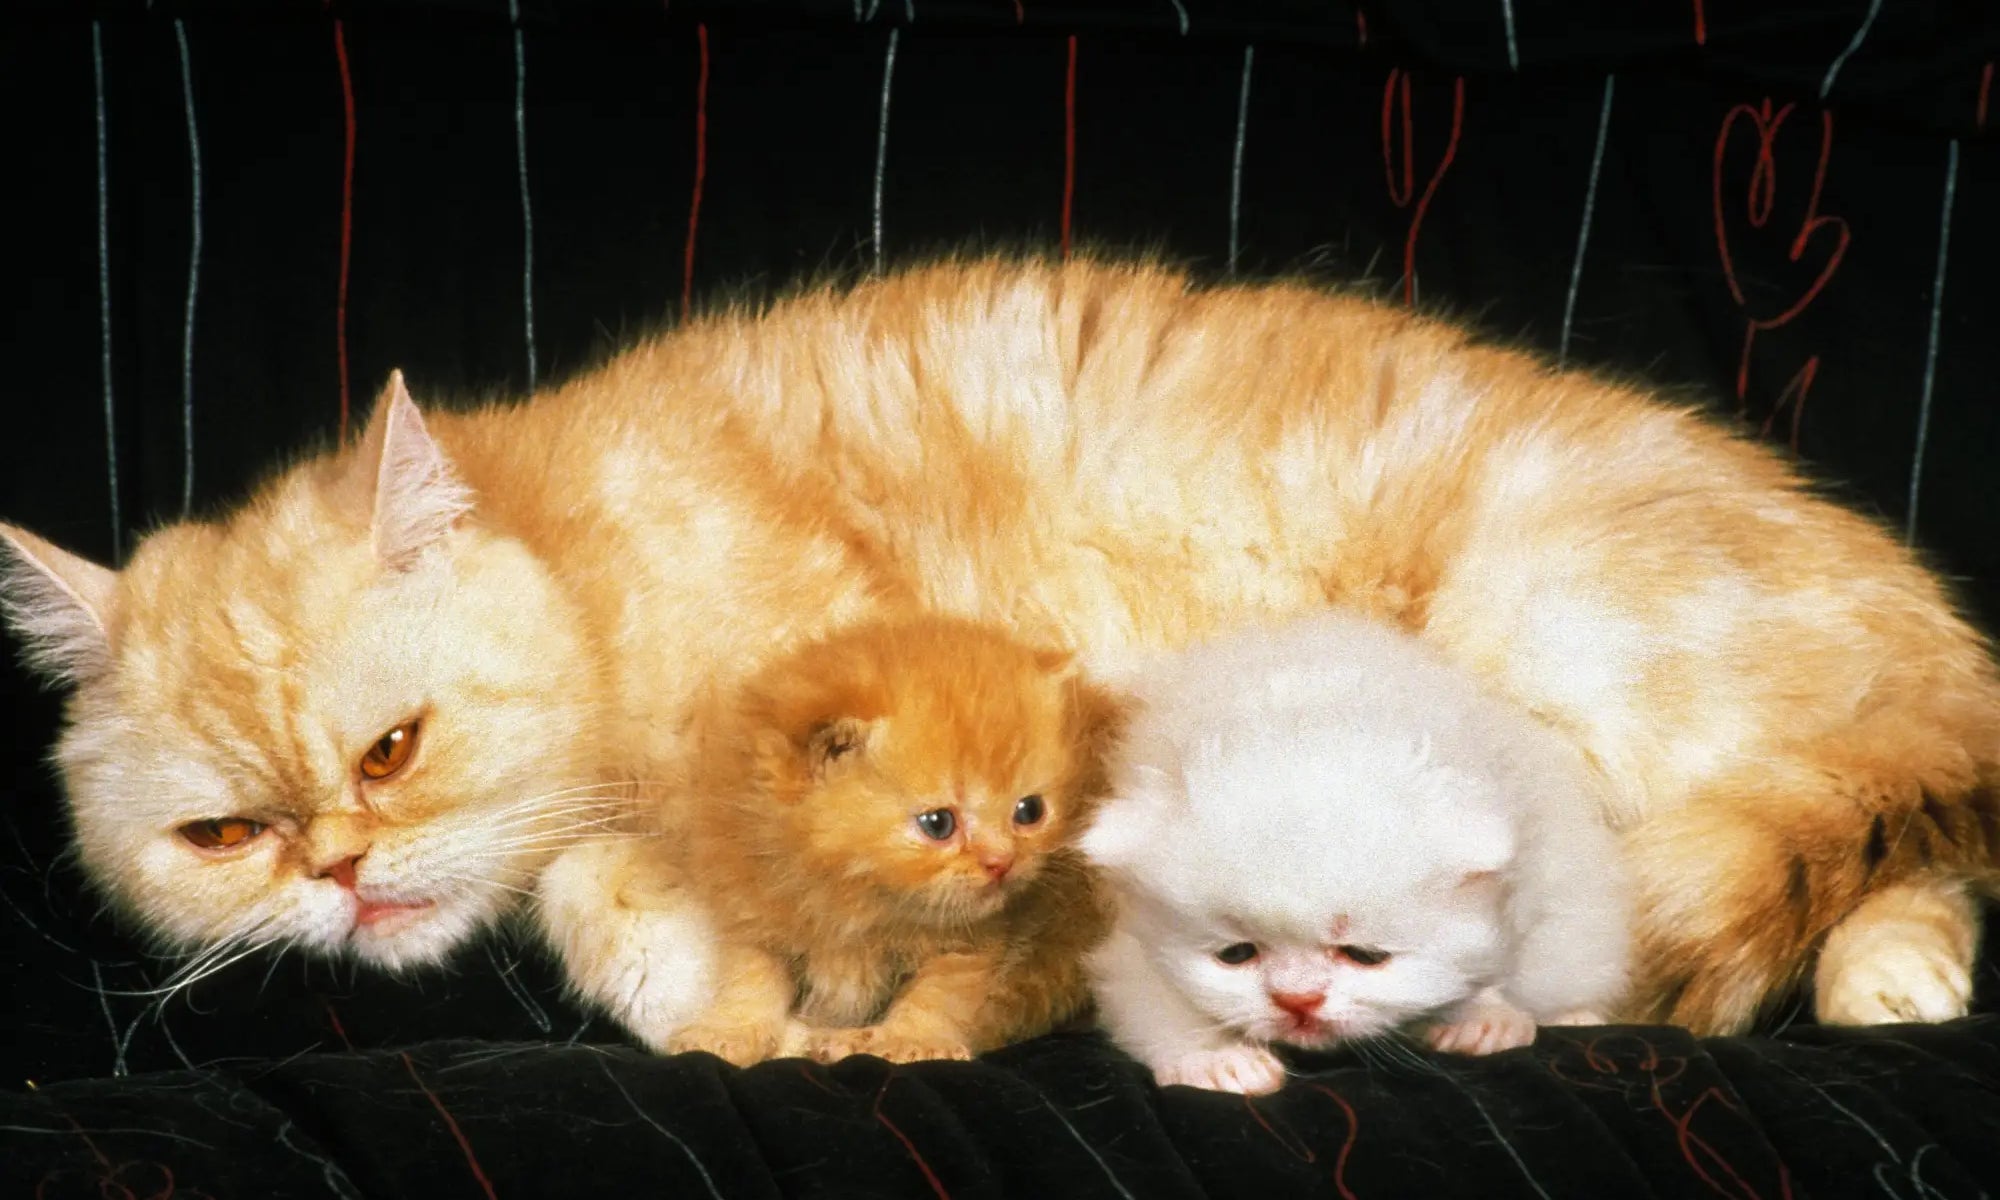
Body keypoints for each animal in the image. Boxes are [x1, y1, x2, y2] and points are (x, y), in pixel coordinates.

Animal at [664, 616, 1120, 1064]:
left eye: (1029, 811)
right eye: (938, 824)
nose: (1001, 863)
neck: (855, 903)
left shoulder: (975, 942)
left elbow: (941, 992)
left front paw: (907, 1039)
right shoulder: (753, 901)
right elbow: (750, 974)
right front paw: (729, 1029)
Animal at [1088, 616, 1632, 1096]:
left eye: (1365, 956)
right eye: (1237, 954)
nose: (1297, 1000)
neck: (1308, 728)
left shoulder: (1530, 882)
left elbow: (1504, 966)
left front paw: (1485, 1016)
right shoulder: (1131, 942)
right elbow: (1152, 998)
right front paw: (1214, 1058)